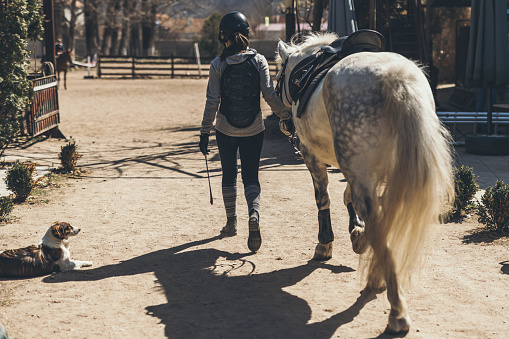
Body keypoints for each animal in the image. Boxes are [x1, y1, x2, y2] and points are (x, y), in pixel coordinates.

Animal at [276, 33, 454, 336]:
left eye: (279, 78)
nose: (284, 124)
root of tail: (394, 77)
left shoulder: (313, 157)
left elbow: (323, 198)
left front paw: (326, 244)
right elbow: (347, 197)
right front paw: (357, 232)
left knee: (378, 221)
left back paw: (395, 309)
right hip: (390, 173)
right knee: (384, 218)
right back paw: (376, 273)